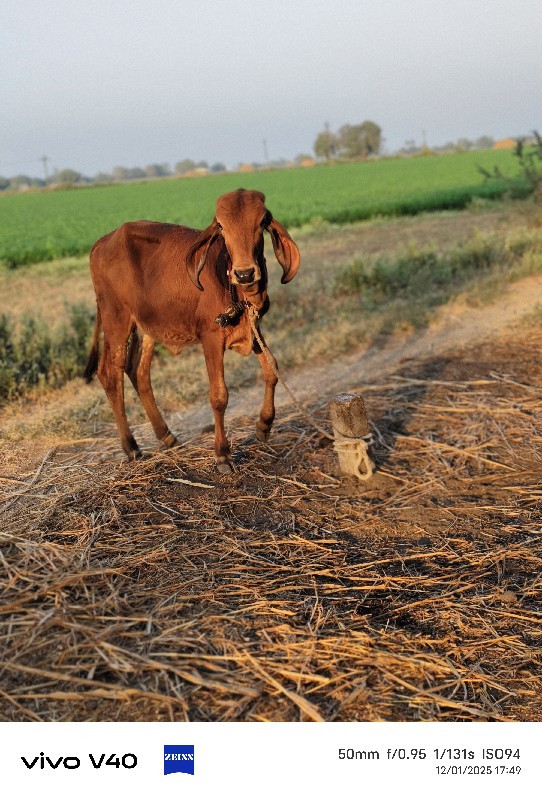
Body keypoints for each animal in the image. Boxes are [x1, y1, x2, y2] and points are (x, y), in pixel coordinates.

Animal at [85, 189, 302, 468]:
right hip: (116, 319)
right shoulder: (210, 338)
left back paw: (166, 436)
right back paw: (131, 446)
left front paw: (264, 425)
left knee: (139, 373)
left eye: (261, 221)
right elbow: (219, 395)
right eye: (221, 226)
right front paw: (222, 453)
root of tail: (101, 242)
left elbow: (271, 369)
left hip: (147, 329)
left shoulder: (254, 330)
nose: (244, 273)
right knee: (110, 373)